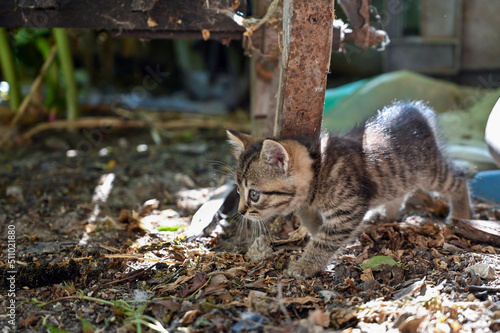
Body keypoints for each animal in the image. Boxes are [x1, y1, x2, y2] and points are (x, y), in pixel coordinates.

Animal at [229, 100, 470, 276]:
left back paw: (461, 214)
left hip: (430, 172)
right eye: (238, 192)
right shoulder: (310, 205)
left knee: (459, 178)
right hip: (400, 176)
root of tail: (416, 110)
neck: (318, 170)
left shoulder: (350, 207)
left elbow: (326, 240)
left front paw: (306, 265)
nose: (241, 211)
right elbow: (314, 224)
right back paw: (384, 215)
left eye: (254, 194)